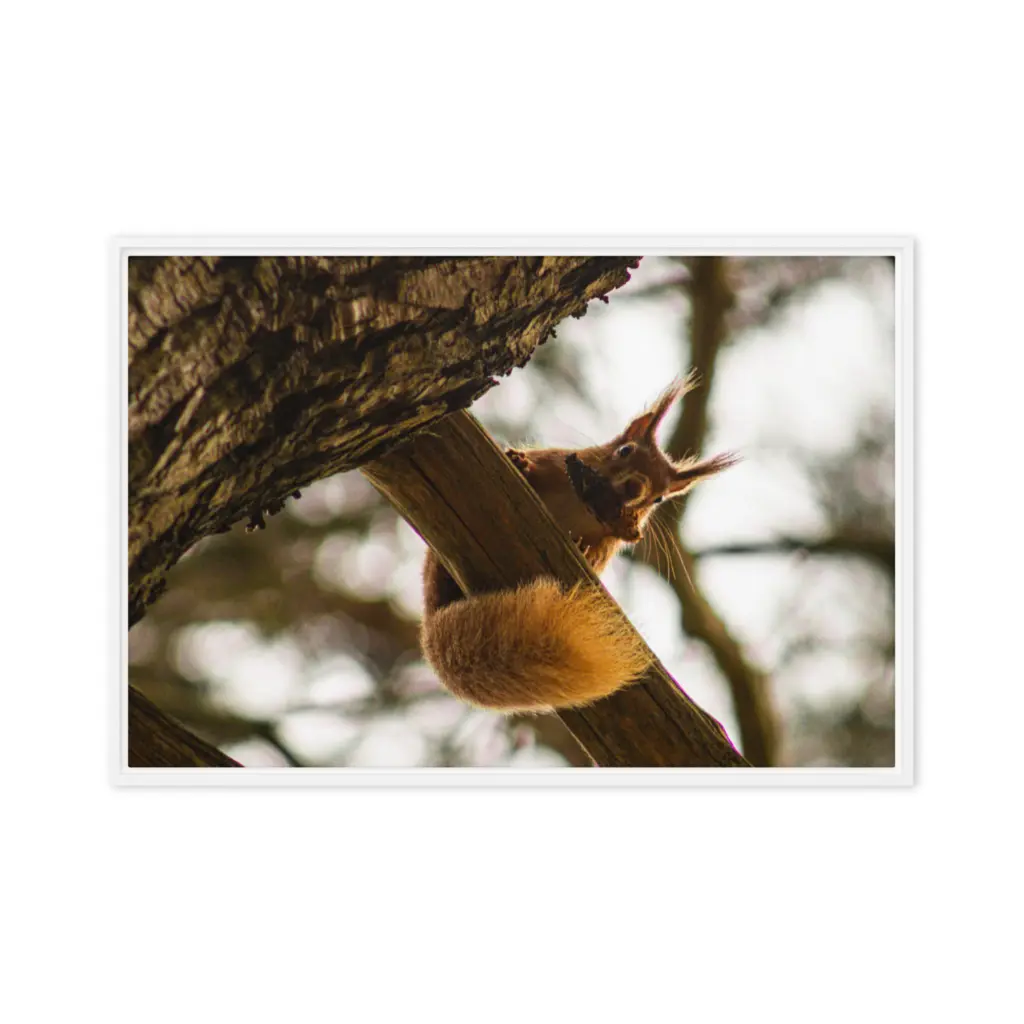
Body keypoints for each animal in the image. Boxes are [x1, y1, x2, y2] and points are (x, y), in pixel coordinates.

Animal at [420, 375, 739, 713]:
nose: (635, 488)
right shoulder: (554, 461)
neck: (583, 504)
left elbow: (597, 556)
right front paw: (520, 463)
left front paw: (583, 548)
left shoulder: (611, 539)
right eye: (625, 450)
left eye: (660, 498)